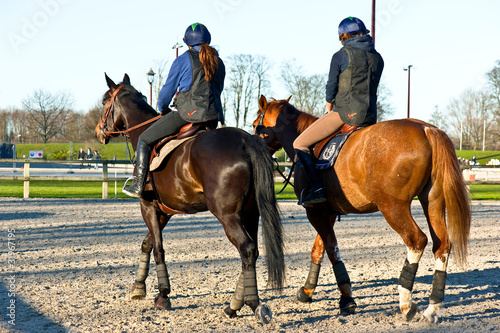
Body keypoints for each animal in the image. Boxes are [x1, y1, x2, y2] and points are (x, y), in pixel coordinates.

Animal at [95, 74, 286, 322]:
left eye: (104, 102)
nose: (99, 132)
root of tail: (246, 140)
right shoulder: (164, 211)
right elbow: (147, 243)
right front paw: (138, 287)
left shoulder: (147, 206)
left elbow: (158, 249)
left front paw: (163, 295)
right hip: (251, 213)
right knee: (252, 253)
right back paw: (235, 304)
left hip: (229, 216)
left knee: (247, 250)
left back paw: (252, 304)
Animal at [252, 95, 470, 322]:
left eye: (254, 124)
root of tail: (426, 129)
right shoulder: (326, 213)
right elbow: (318, 250)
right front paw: (307, 290)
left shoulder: (315, 212)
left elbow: (332, 251)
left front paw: (346, 298)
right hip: (432, 202)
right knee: (442, 246)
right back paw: (432, 308)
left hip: (393, 207)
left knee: (416, 240)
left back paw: (406, 303)